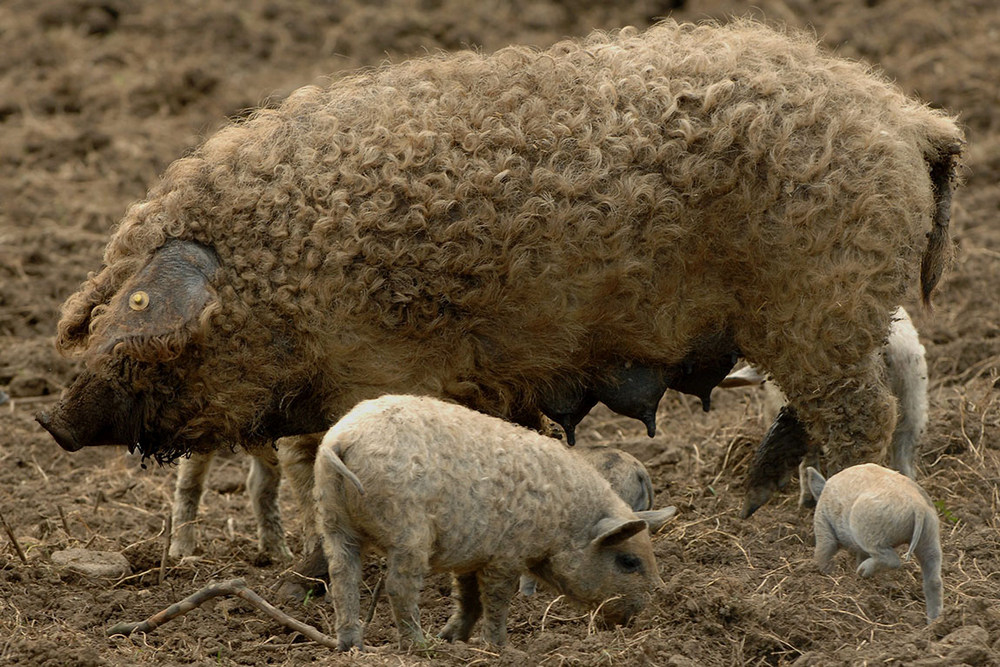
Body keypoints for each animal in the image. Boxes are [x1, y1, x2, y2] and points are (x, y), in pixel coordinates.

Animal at [314, 394, 672, 648]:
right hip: (408, 532)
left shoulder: (472, 554)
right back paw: (421, 646)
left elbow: (469, 599)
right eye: (628, 561)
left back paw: (351, 647)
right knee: (398, 587)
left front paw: (454, 640)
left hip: (333, 522)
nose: (654, 609)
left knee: (343, 580)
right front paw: (500, 648)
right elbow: (498, 600)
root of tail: (341, 439)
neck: (564, 520)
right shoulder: (506, 555)